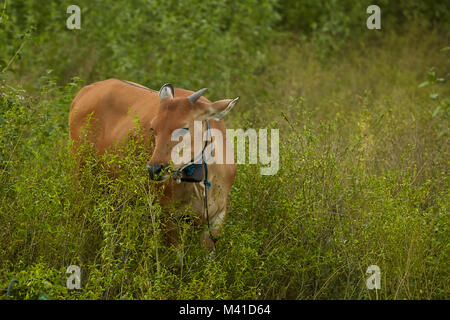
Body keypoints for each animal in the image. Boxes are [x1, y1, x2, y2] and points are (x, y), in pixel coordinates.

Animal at [68, 79, 237, 249]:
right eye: (153, 128)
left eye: (184, 128)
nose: (154, 169)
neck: (201, 184)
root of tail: (85, 90)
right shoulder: (167, 215)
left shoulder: (217, 217)